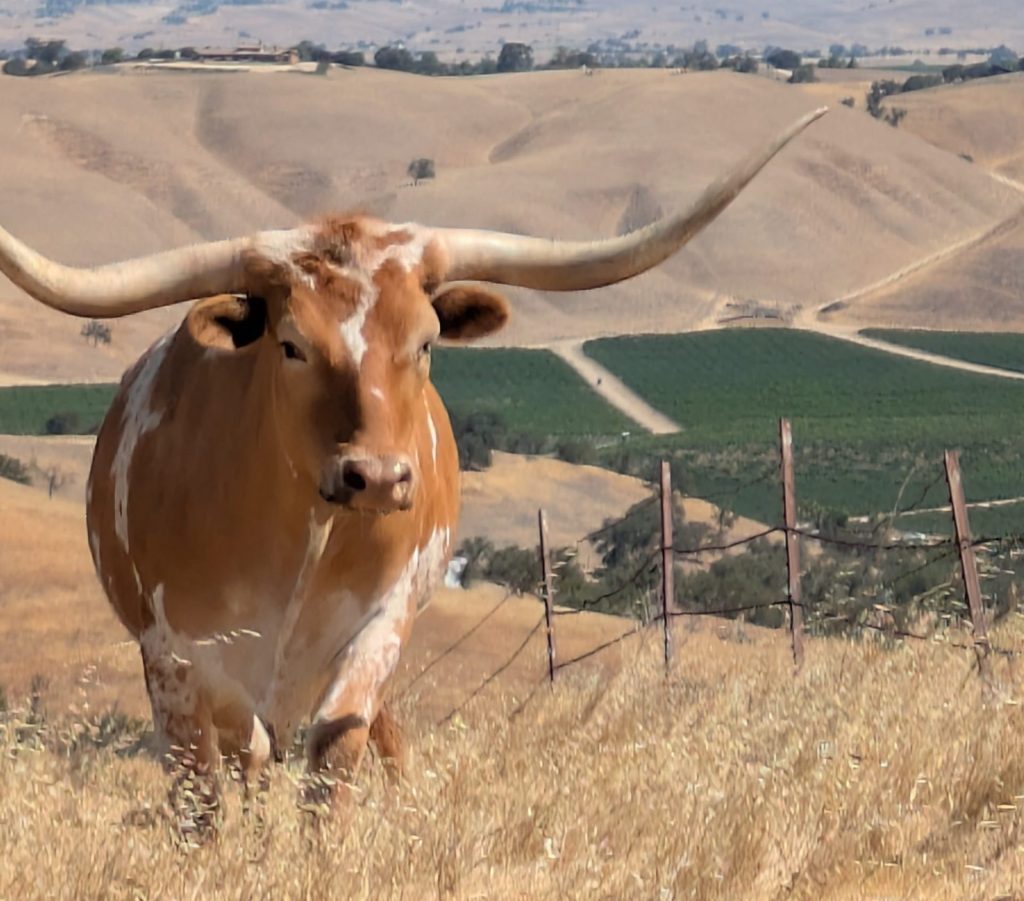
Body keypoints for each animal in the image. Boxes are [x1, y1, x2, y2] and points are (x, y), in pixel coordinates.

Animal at [0, 108, 824, 808]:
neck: (298, 536)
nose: (378, 476)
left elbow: (335, 748)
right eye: (291, 345)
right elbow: (210, 781)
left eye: (426, 341)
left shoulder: (379, 622)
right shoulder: (177, 655)